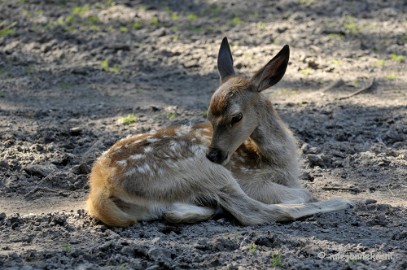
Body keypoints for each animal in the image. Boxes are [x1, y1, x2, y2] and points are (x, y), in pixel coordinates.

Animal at [87, 37, 354, 227]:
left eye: (236, 117)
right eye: (209, 117)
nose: (214, 154)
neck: (279, 162)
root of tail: (99, 187)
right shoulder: (251, 180)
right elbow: (304, 193)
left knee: (173, 212)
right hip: (207, 171)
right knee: (255, 213)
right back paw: (343, 201)